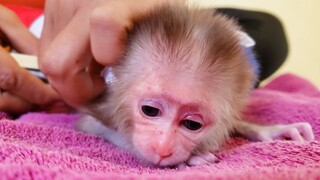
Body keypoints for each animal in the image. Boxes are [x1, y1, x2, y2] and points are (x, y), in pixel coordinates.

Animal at [77, 3, 312, 167]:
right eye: (150, 110)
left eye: (192, 124)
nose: (163, 148)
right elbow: (89, 124)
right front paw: (188, 160)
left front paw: (267, 131)